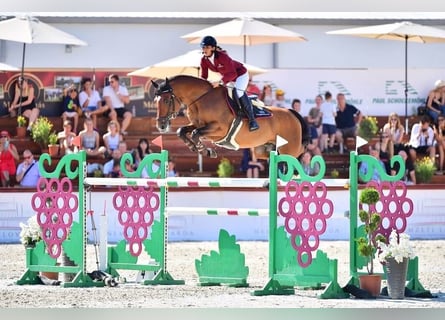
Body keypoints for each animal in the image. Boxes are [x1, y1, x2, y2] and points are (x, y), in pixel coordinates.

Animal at [152, 75, 308, 160]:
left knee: (299, 152)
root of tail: (291, 113)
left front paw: (206, 151)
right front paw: (194, 147)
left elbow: (196, 133)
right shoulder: (198, 125)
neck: (200, 99)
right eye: (156, 100)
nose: (161, 125)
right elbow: (182, 131)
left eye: (166, 100)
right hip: (262, 150)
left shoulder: (219, 129)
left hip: (289, 148)